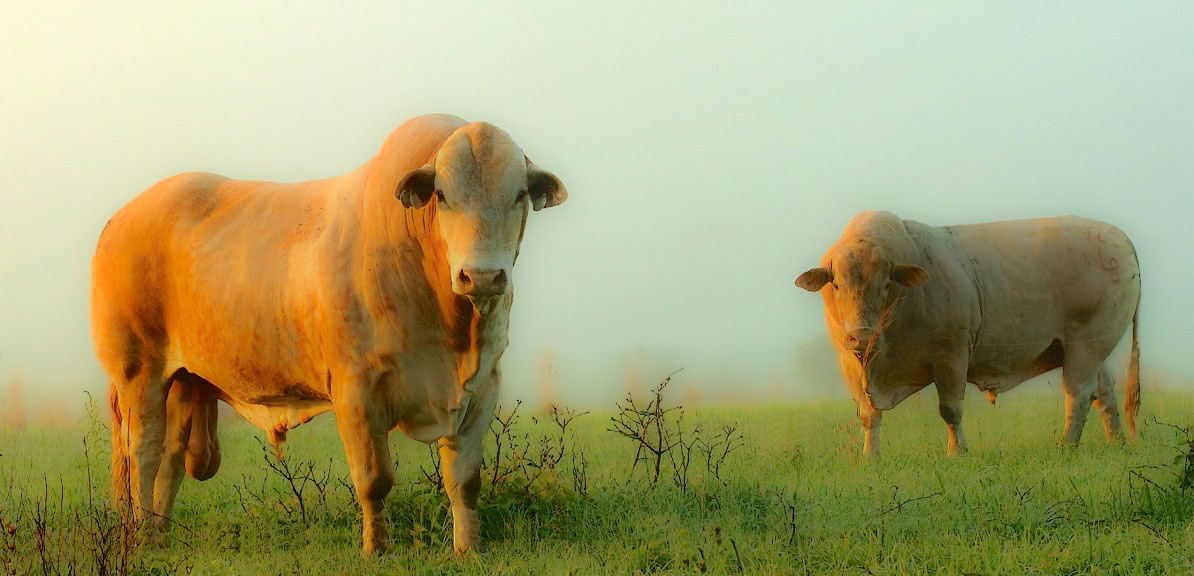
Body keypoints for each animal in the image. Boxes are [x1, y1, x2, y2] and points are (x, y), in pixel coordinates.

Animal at [90, 114, 567, 554]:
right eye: (443, 196)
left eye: (519, 194)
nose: (482, 276)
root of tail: (120, 219)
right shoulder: (356, 389)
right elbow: (375, 479)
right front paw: (376, 549)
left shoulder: (483, 385)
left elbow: (465, 480)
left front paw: (469, 548)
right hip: (139, 372)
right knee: (142, 454)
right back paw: (139, 536)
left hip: (184, 380)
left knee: (170, 460)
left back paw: (158, 537)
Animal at [795, 210, 1141, 458]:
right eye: (836, 284)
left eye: (886, 284)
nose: (861, 336)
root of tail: (1121, 236)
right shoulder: (849, 364)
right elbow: (868, 415)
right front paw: (871, 457)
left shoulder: (951, 356)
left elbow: (950, 410)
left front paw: (957, 452)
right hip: (1088, 348)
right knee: (1104, 392)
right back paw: (1117, 443)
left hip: (1087, 345)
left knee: (1078, 393)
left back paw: (1067, 445)